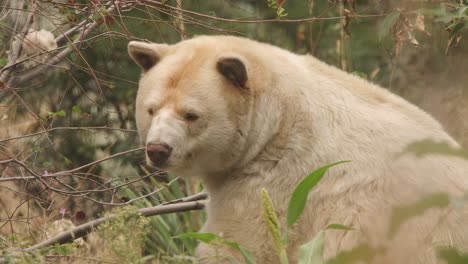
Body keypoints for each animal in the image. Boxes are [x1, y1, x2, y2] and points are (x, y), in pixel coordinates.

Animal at [128, 35, 468, 264]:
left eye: (191, 115)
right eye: (151, 109)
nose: (158, 149)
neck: (278, 117)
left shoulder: (280, 177)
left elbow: (241, 243)